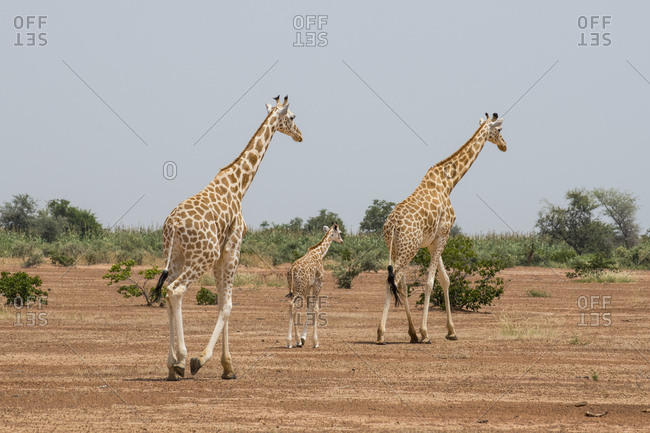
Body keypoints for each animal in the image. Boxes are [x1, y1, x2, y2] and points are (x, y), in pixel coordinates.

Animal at [152, 95, 303, 380]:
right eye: (292, 117)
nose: (300, 135)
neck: (239, 185)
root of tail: (173, 226)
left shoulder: (222, 254)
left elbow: (222, 303)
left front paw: (228, 367)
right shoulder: (231, 249)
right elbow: (227, 305)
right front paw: (205, 360)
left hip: (175, 256)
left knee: (166, 293)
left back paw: (170, 365)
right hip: (202, 255)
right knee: (175, 290)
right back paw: (182, 359)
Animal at [377, 113, 507, 345]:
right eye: (499, 130)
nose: (504, 146)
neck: (449, 182)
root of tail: (391, 226)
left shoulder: (433, 241)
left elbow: (445, 280)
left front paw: (451, 331)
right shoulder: (444, 235)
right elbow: (430, 282)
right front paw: (426, 333)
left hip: (395, 248)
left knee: (400, 283)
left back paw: (411, 333)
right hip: (408, 248)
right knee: (394, 281)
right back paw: (382, 334)